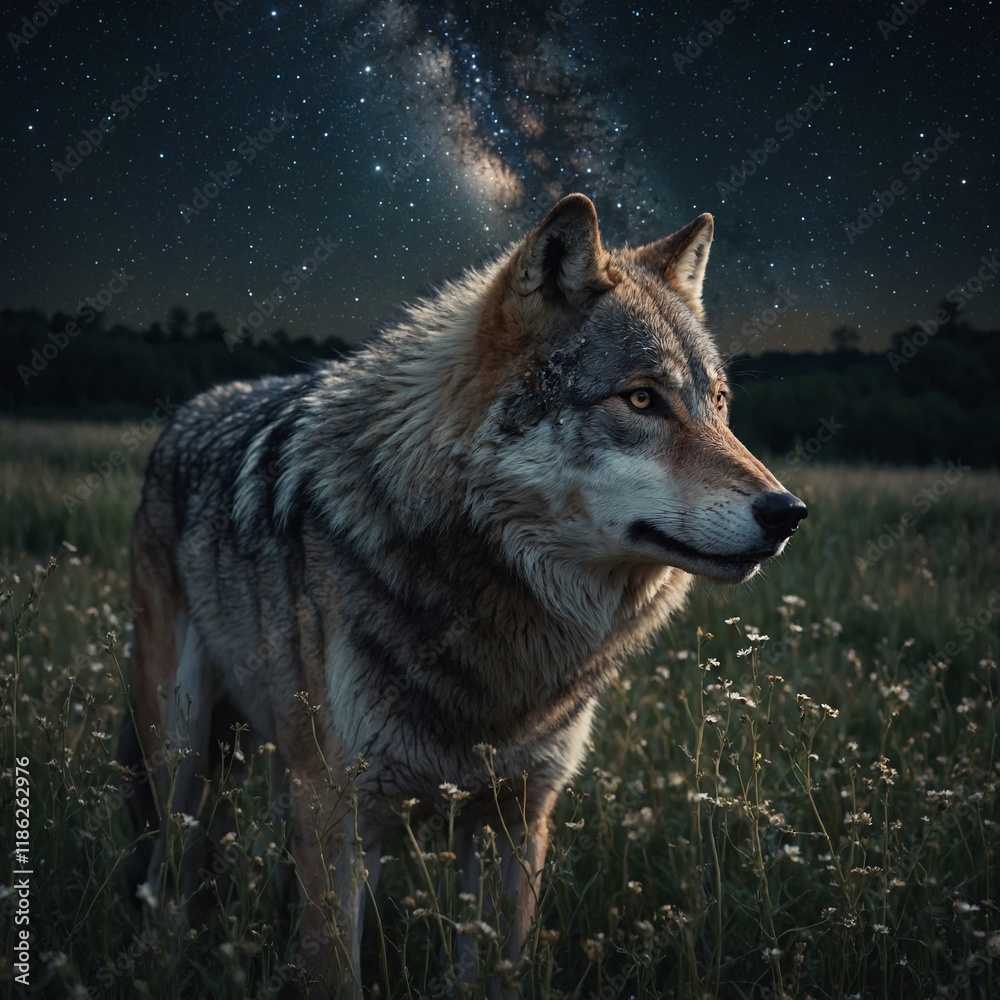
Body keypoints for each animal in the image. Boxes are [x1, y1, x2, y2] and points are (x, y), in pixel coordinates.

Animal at [117, 193, 806, 995]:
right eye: (641, 399)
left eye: (719, 405)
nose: (789, 512)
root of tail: (187, 412)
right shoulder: (337, 812)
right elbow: (335, 970)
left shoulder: (517, 815)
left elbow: (498, 964)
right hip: (185, 753)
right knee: (170, 875)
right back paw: (161, 961)